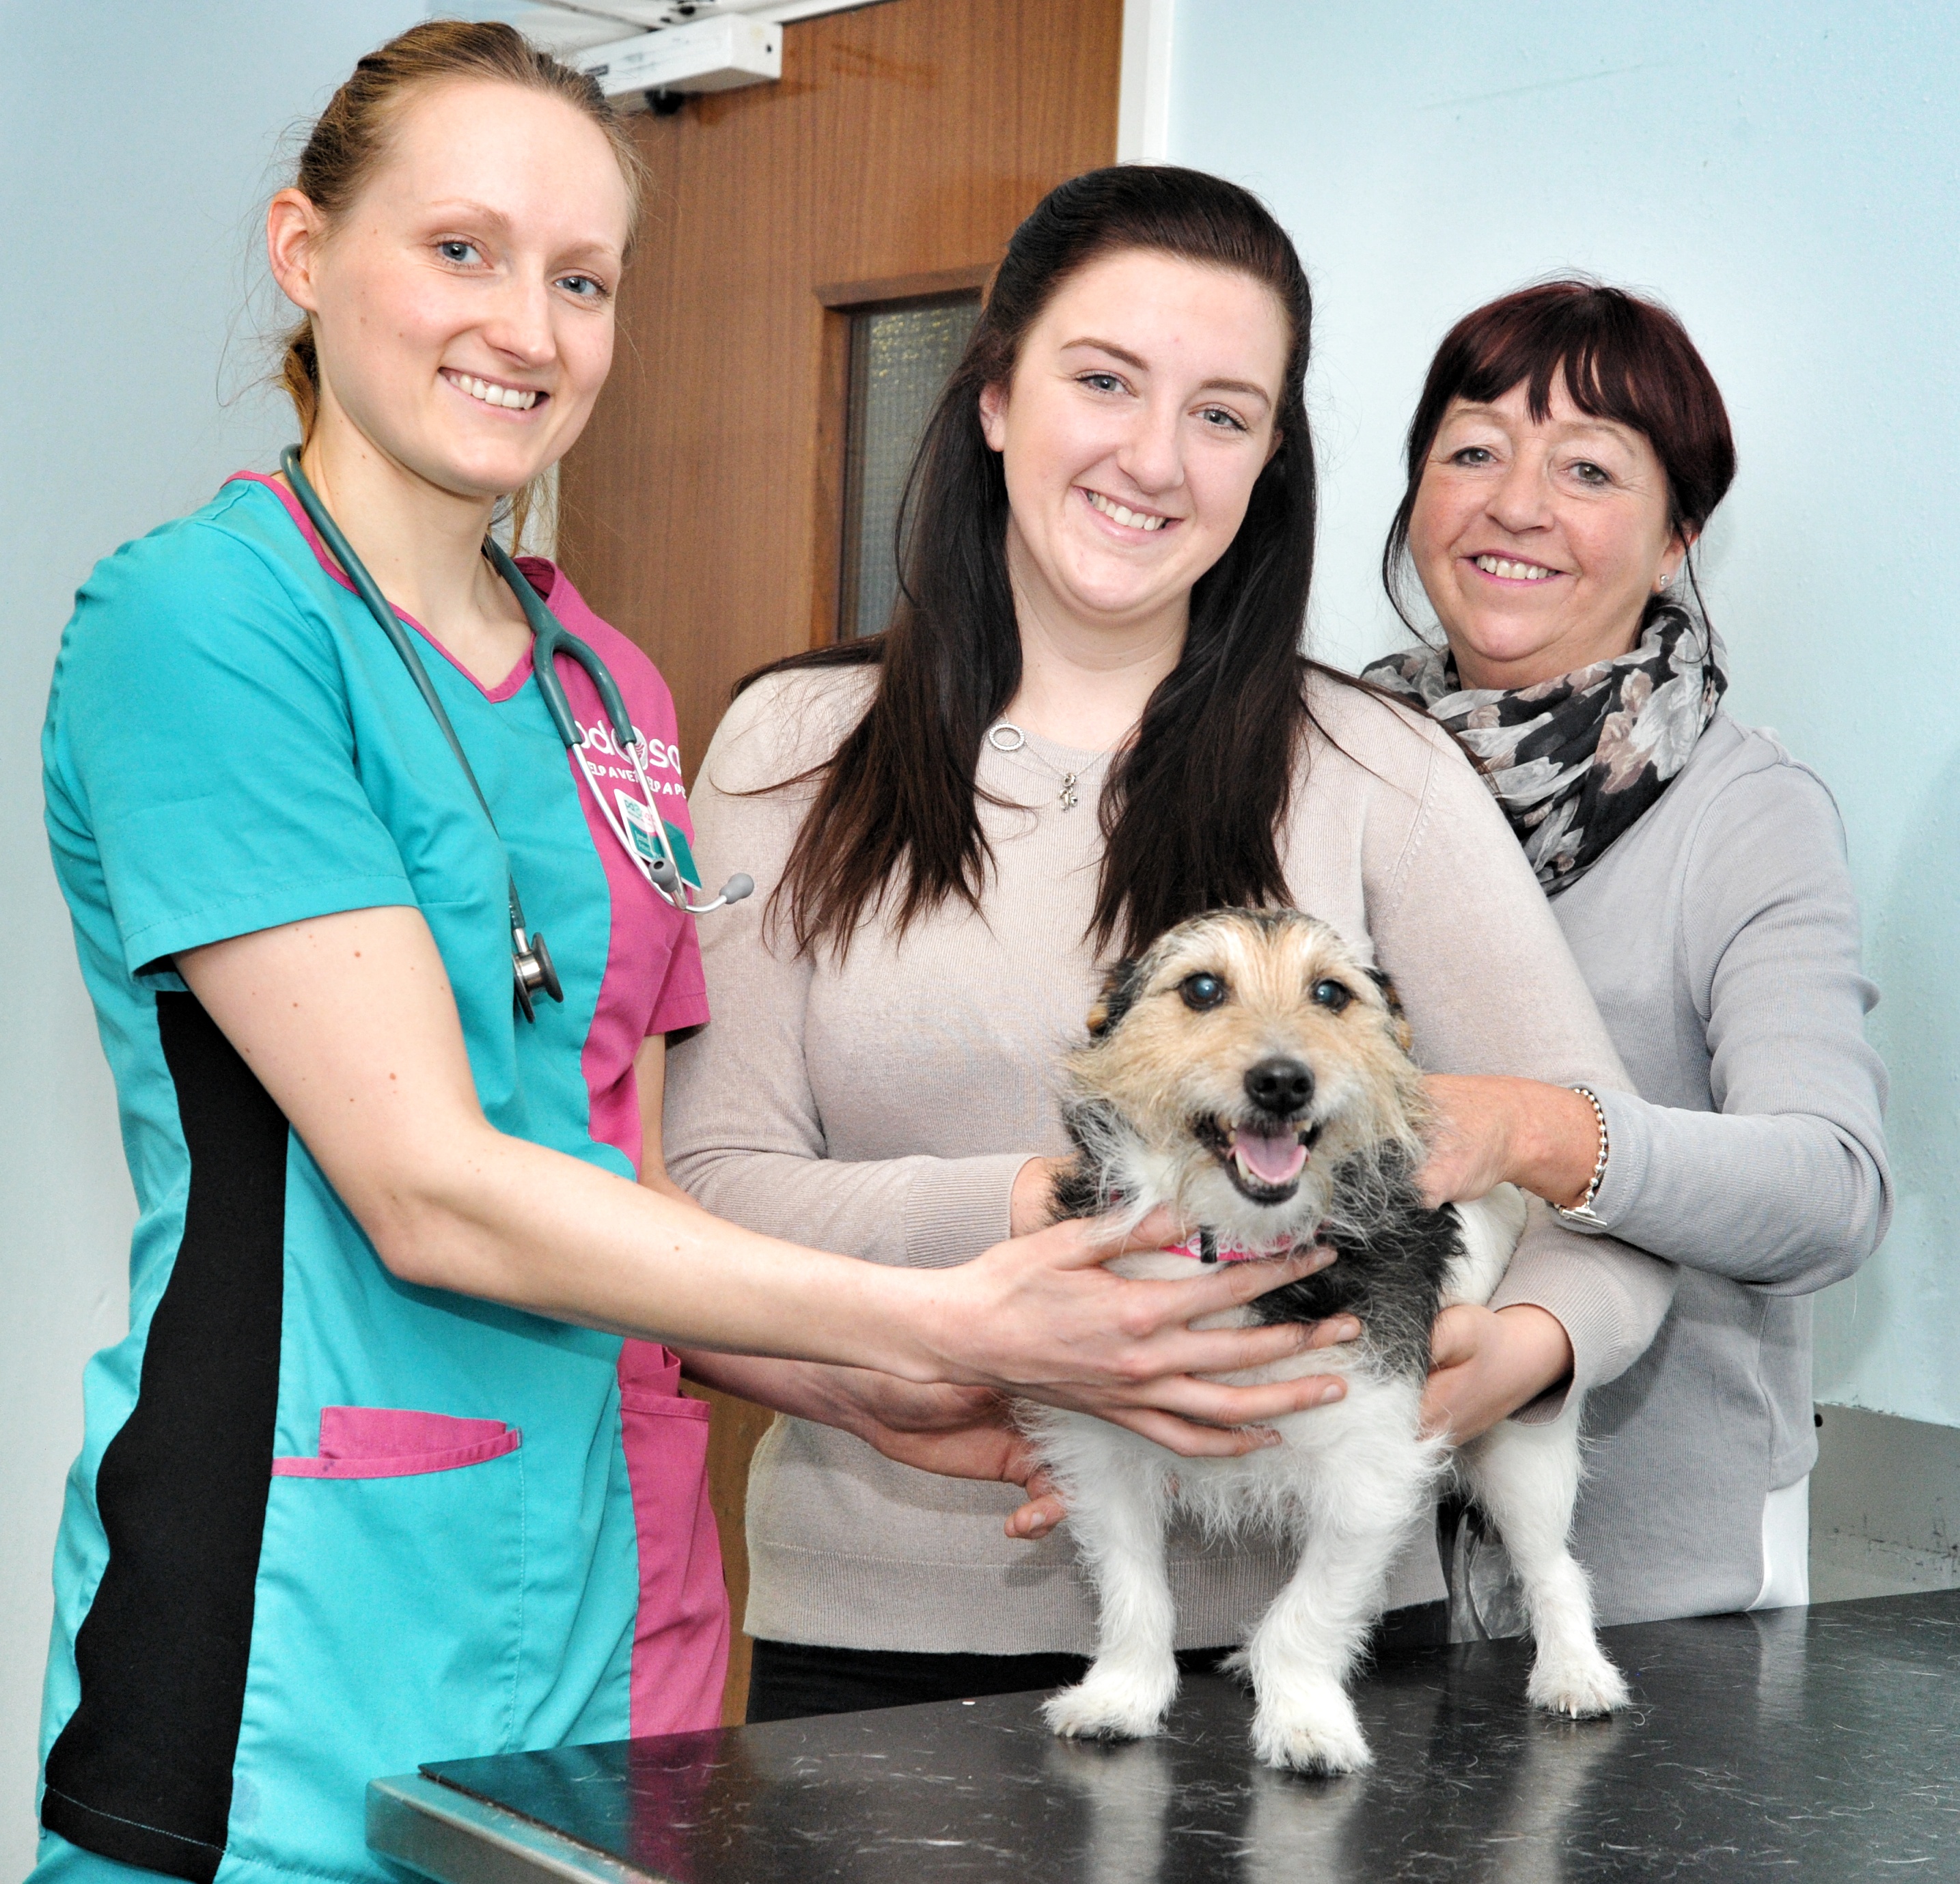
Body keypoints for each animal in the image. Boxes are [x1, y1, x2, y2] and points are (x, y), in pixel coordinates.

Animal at [1027, 905, 1623, 1772]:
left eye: (1330, 994)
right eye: (1201, 988)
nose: (1282, 1080)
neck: (1238, 1244)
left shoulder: (1367, 1465)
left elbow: (1308, 1611)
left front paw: (1306, 1721)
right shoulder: (1105, 1452)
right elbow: (1134, 1592)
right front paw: (1121, 1696)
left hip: (1521, 1448)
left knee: (1554, 1569)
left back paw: (1575, 1672)